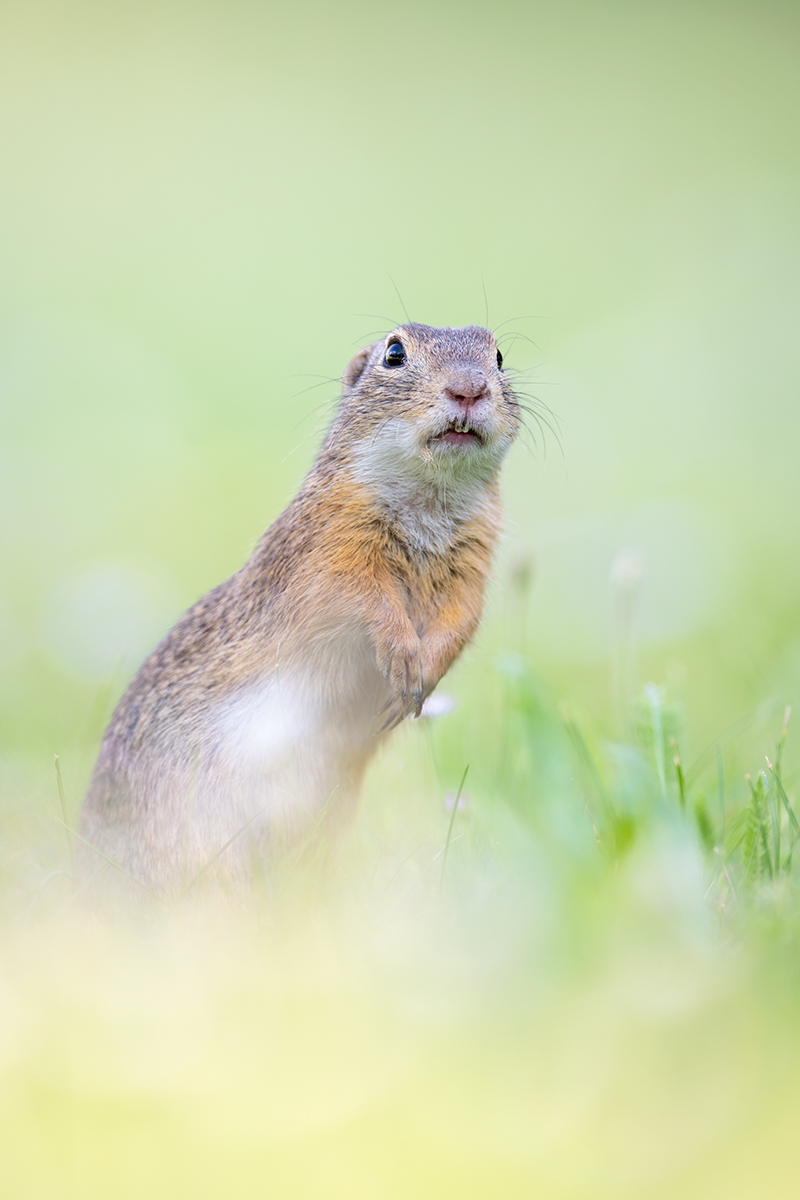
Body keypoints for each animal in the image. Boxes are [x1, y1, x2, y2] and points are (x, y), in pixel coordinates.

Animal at [79, 324, 520, 897]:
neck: (430, 499)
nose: (469, 389)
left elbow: (460, 623)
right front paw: (401, 657)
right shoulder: (328, 552)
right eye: (394, 353)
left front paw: (420, 678)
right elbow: (361, 600)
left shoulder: (470, 571)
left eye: (499, 357)